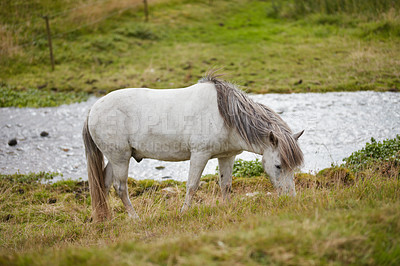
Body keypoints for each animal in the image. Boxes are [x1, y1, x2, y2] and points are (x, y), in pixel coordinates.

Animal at [83, 72, 304, 220]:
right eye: (278, 166)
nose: (290, 200)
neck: (224, 114)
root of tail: (93, 110)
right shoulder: (200, 154)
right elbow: (192, 186)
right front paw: (184, 212)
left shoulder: (227, 156)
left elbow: (226, 184)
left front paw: (227, 208)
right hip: (120, 158)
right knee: (120, 188)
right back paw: (135, 219)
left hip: (117, 158)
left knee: (103, 184)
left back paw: (105, 218)